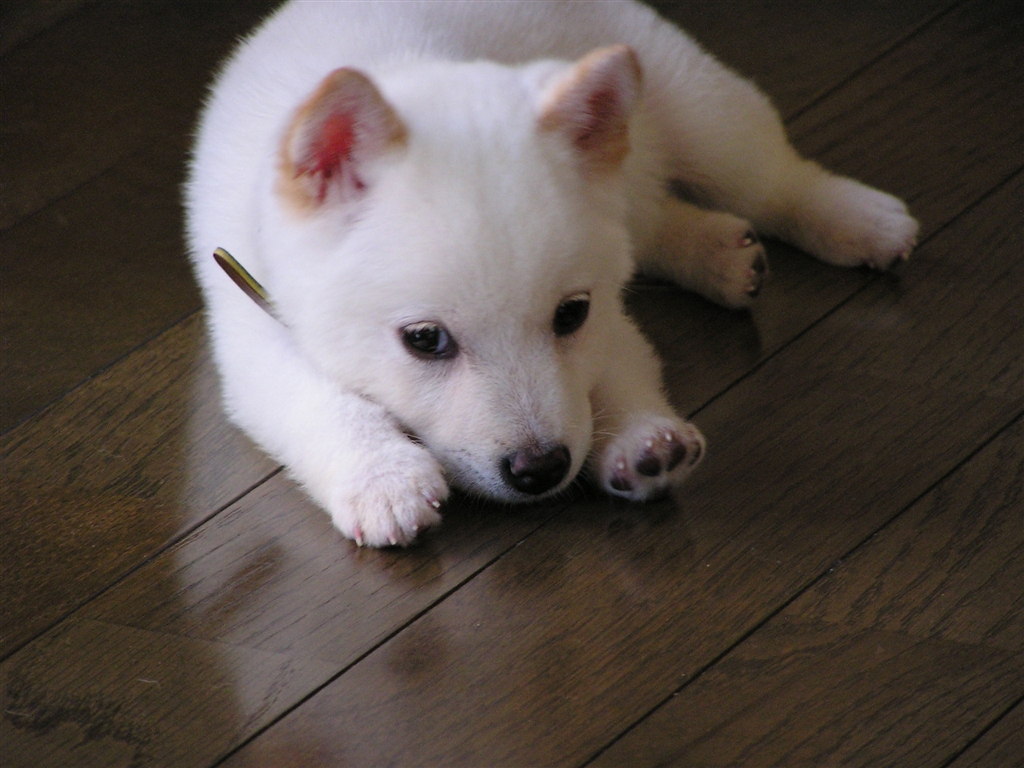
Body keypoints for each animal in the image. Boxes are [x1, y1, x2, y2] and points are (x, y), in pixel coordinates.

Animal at [186, 3, 921, 548]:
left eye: (570, 314)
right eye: (425, 341)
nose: (540, 470)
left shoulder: (608, 313)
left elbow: (619, 368)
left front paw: (641, 437)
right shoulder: (253, 325)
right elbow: (323, 401)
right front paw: (382, 476)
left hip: (702, 110)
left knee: (768, 180)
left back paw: (854, 218)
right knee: (651, 217)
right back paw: (717, 251)